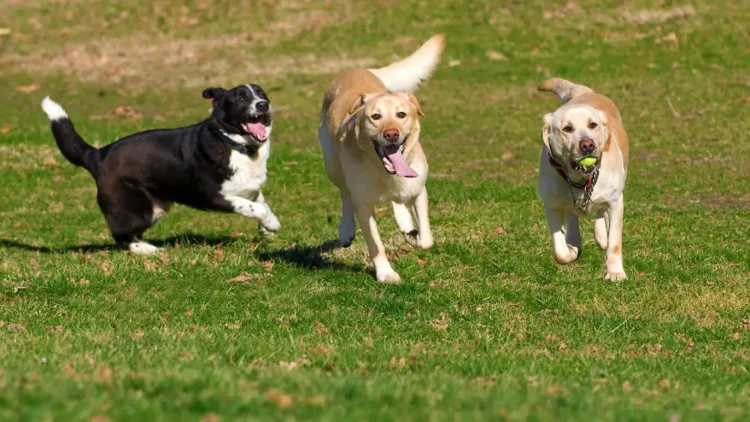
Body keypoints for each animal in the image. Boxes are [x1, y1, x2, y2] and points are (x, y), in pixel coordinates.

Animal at [41, 83, 282, 252]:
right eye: (241, 98)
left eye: (262, 94)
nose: (263, 104)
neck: (236, 144)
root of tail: (98, 154)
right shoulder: (214, 196)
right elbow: (256, 208)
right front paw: (272, 224)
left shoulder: (251, 188)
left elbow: (260, 202)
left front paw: (266, 229)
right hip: (138, 210)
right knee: (121, 235)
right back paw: (148, 250)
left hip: (156, 207)